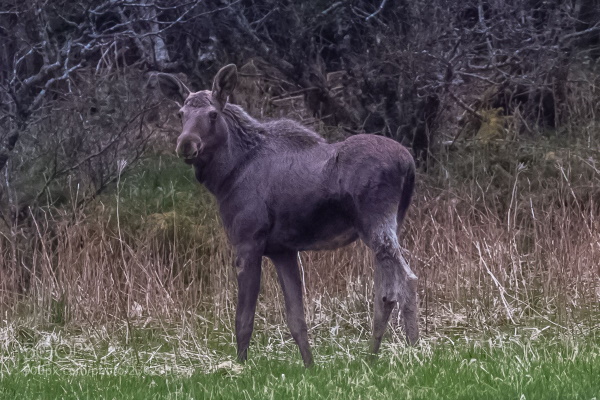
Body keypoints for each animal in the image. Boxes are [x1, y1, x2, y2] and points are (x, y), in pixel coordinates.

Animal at [157, 64, 420, 368]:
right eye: (180, 114)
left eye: (212, 114)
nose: (186, 144)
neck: (225, 176)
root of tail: (409, 163)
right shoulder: (283, 250)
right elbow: (296, 318)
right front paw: (310, 367)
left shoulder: (248, 242)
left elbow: (243, 319)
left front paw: (241, 367)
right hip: (387, 225)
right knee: (385, 293)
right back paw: (371, 357)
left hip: (376, 222)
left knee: (407, 280)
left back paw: (416, 353)